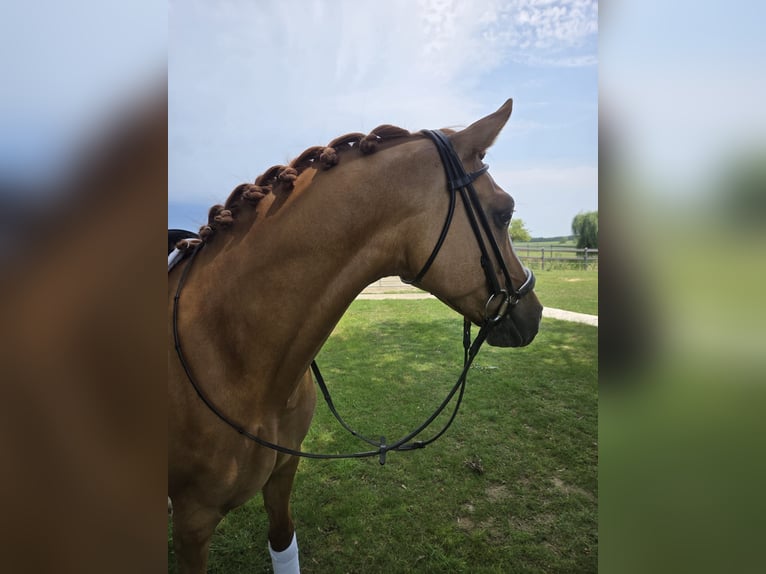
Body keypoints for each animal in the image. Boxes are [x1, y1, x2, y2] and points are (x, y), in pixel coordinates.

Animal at [168, 99, 543, 573]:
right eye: (504, 211)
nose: (535, 313)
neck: (228, 347)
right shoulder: (193, 523)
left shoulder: (283, 473)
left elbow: (283, 542)